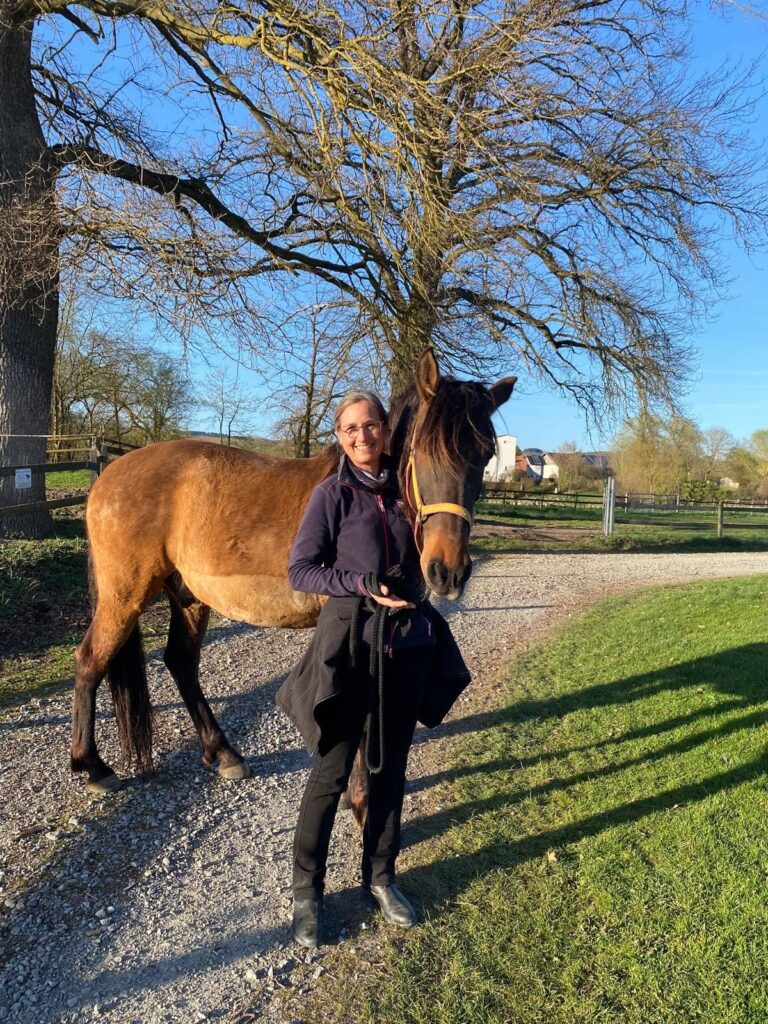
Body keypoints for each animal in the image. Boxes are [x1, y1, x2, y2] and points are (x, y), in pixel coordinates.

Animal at [71, 349, 516, 805]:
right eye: (425, 451)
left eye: (484, 456)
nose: (449, 570)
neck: (369, 491)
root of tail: (110, 474)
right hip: (126, 594)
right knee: (90, 660)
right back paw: (92, 766)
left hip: (189, 596)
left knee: (180, 662)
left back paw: (223, 753)